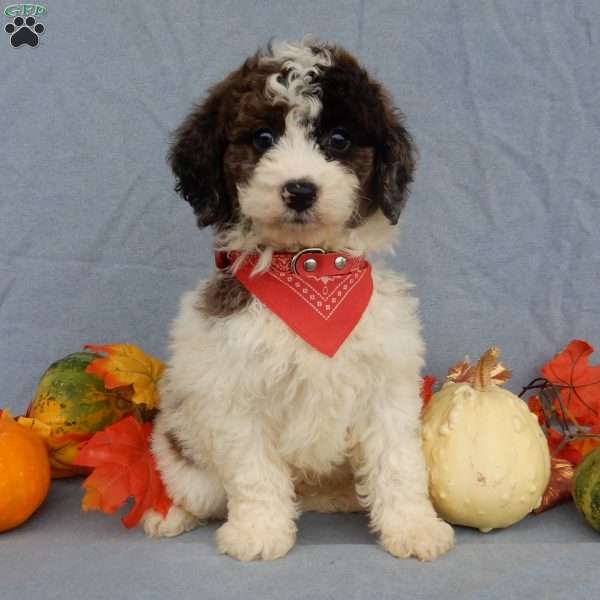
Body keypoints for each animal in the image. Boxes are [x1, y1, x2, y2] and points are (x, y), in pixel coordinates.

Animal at [144, 38, 454, 564]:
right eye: (263, 138)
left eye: (338, 140)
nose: (300, 190)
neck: (310, 270)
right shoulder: (236, 391)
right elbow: (254, 473)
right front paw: (259, 532)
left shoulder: (386, 385)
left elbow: (398, 463)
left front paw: (413, 527)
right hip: (183, 449)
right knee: (198, 491)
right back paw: (171, 514)